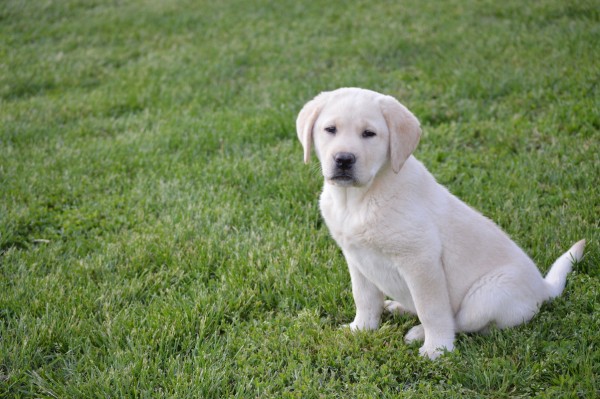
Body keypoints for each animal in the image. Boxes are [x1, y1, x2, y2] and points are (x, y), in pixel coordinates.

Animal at [296, 86, 584, 360]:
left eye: (369, 133)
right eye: (330, 129)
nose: (344, 159)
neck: (357, 199)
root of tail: (543, 288)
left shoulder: (420, 260)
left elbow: (431, 309)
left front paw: (437, 349)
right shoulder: (356, 259)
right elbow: (364, 298)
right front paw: (361, 329)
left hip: (486, 297)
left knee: (463, 322)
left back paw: (418, 333)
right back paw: (398, 307)